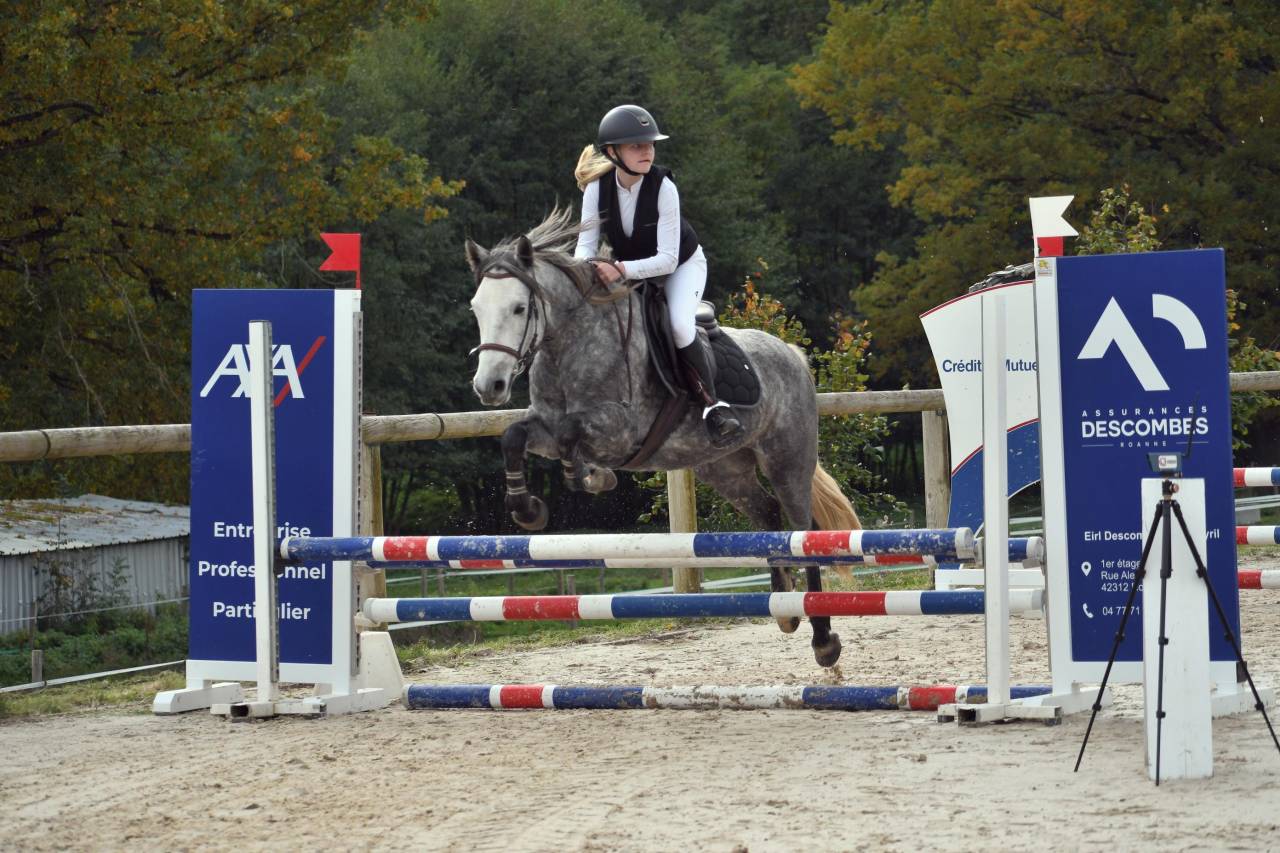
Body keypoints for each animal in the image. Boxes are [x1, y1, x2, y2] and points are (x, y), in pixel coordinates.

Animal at [464, 207, 861, 667]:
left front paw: (588, 475)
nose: (489, 387)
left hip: (786, 459)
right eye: (476, 308)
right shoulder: (543, 427)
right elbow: (514, 436)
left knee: (801, 531)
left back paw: (823, 639)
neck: (571, 344)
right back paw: (784, 610)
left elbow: (570, 433)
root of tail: (793, 355)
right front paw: (529, 509)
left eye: (519, 308)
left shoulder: (619, 430)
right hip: (723, 467)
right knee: (766, 514)